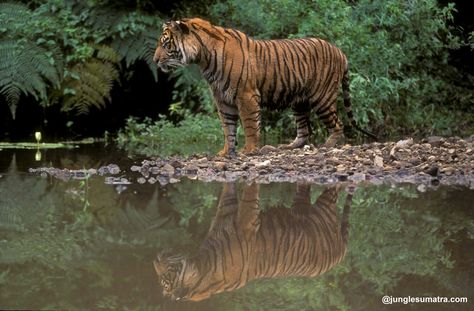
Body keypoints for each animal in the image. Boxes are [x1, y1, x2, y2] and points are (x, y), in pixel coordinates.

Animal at [153, 183, 352, 302]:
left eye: (166, 272)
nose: (155, 259)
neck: (203, 266)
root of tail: (341, 252)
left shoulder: (228, 211)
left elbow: (231, 190)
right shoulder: (246, 220)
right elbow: (249, 192)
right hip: (321, 207)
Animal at [154, 17, 376, 156]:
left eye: (166, 44)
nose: (155, 60)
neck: (204, 58)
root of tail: (340, 51)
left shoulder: (246, 95)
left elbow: (250, 124)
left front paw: (249, 150)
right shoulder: (223, 99)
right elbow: (228, 127)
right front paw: (226, 152)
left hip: (322, 98)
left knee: (338, 125)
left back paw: (327, 145)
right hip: (299, 102)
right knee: (305, 130)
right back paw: (289, 147)